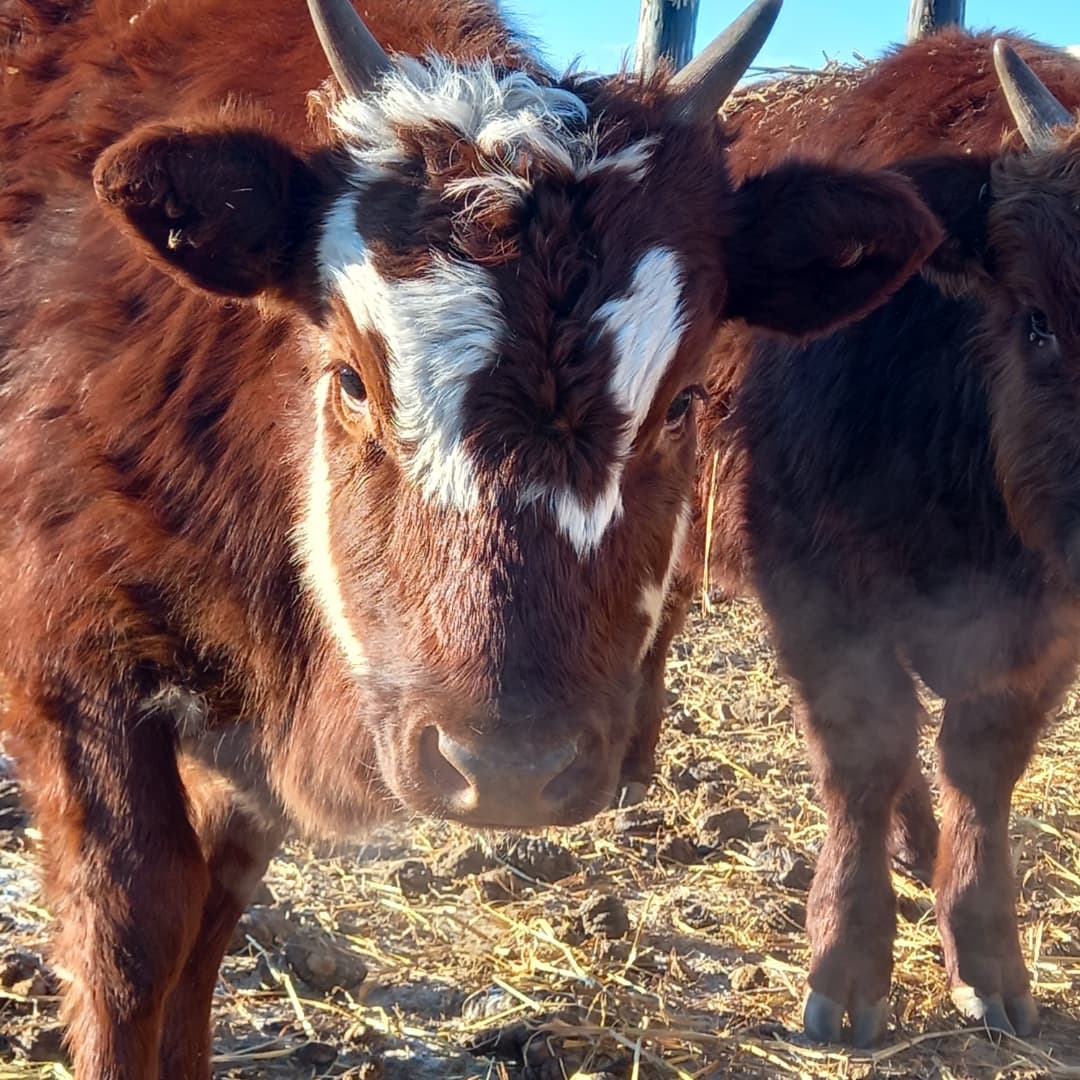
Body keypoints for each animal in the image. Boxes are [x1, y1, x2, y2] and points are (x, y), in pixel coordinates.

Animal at [0, 0, 946, 1071]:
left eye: (681, 402)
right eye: (352, 379)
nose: (510, 769)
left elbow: (209, 924)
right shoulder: (66, 659)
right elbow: (132, 934)